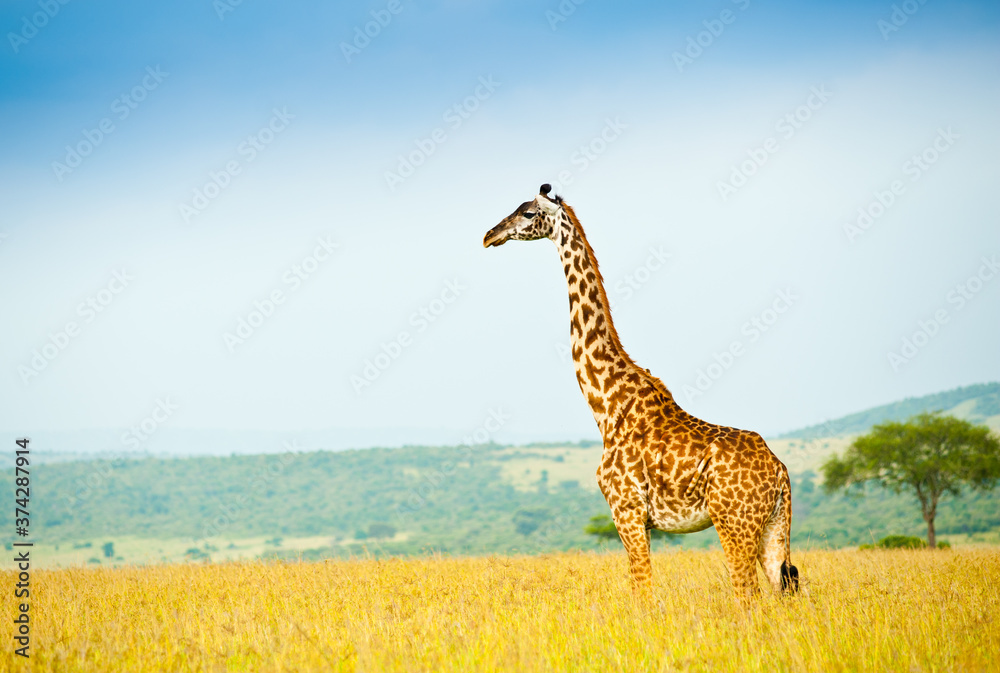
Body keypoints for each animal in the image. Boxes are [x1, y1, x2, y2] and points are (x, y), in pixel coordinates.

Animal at [483, 184, 799, 603]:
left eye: (528, 213)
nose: (489, 236)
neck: (606, 405)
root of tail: (779, 471)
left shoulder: (626, 509)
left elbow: (642, 591)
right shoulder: (637, 518)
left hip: (734, 522)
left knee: (747, 595)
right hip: (774, 527)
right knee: (784, 588)